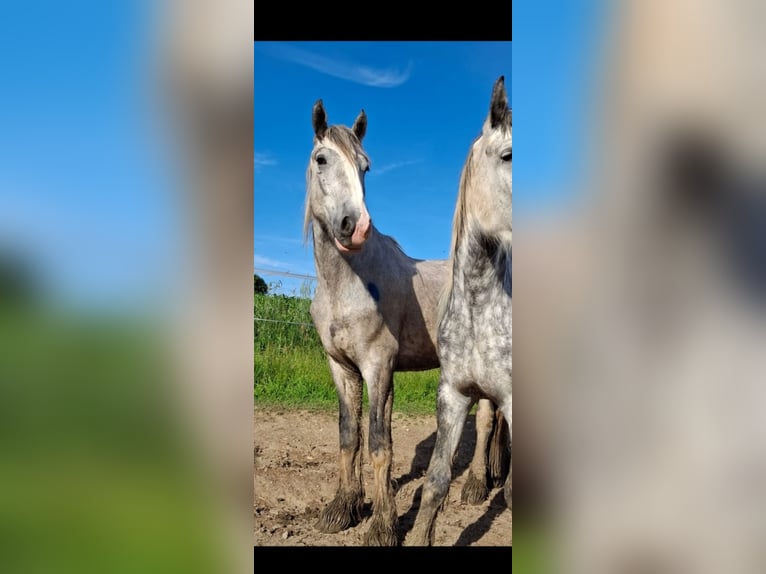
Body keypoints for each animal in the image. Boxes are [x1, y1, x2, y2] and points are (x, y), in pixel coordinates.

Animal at [304, 100, 508, 548]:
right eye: (321, 158)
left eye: (365, 165)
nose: (355, 226)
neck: (348, 281)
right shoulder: (342, 368)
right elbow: (349, 435)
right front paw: (342, 509)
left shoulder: (378, 367)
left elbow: (380, 444)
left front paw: (381, 526)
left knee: (487, 420)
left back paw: (476, 486)